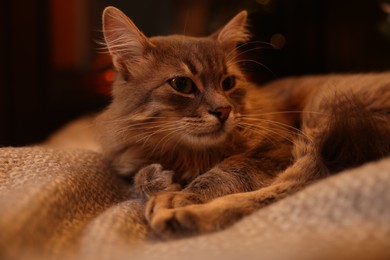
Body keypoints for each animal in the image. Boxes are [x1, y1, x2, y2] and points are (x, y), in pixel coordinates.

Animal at [96, 6, 390, 239]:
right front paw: (157, 179)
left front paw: (178, 196)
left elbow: (223, 173)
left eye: (228, 83)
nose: (224, 111)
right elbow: (138, 178)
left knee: (295, 187)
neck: (188, 154)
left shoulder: (273, 149)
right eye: (182, 84)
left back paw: (184, 215)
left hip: (323, 114)